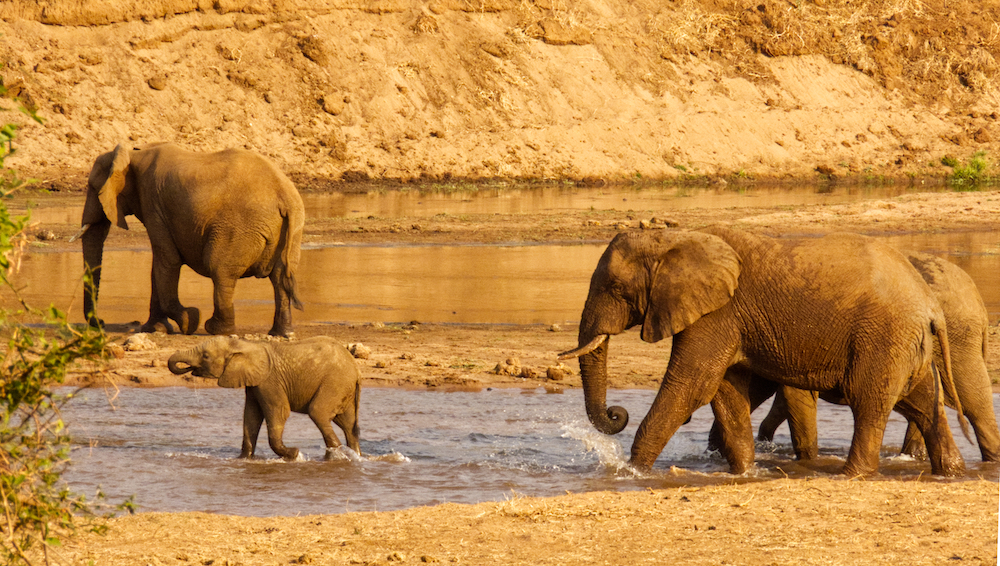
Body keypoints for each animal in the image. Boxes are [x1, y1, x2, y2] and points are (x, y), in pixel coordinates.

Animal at [74, 143, 304, 338]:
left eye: (93, 188)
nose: (101, 322)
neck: (133, 154)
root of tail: (284, 196)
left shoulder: (153, 204)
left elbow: (167, 260)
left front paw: (189, 321)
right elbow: (159, 266)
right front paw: (154, 329)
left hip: (241, 227)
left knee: (219, 268)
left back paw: (216, 329)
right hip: (291, 231)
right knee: (280, 277)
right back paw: (281, 333)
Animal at [169, 338, 364, 462]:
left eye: (206, 356)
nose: (189, 370)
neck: (246, 345)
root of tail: (356, 370)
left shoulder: (269, 381)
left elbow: (279, 412)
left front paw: (294, 454)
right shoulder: (254, 383)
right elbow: (251, 416)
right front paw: (243, 459)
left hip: (334, 383)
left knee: (318, 412)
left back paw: (335, 456)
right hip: (343, 389)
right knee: (348, 424)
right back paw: (353, 456)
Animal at [556, 226, 968, 480]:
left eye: (614, 288)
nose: (616, 412)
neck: (673, 237)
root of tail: (931, 306)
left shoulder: (717, 314)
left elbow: (691, 387)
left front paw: (632, 472)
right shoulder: (727, 320)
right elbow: (725, 392)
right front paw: (744, 473)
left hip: (883, 340)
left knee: (869, 404)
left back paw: (852, 475)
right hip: (909, 346)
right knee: (923, 405)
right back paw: (952, 472)